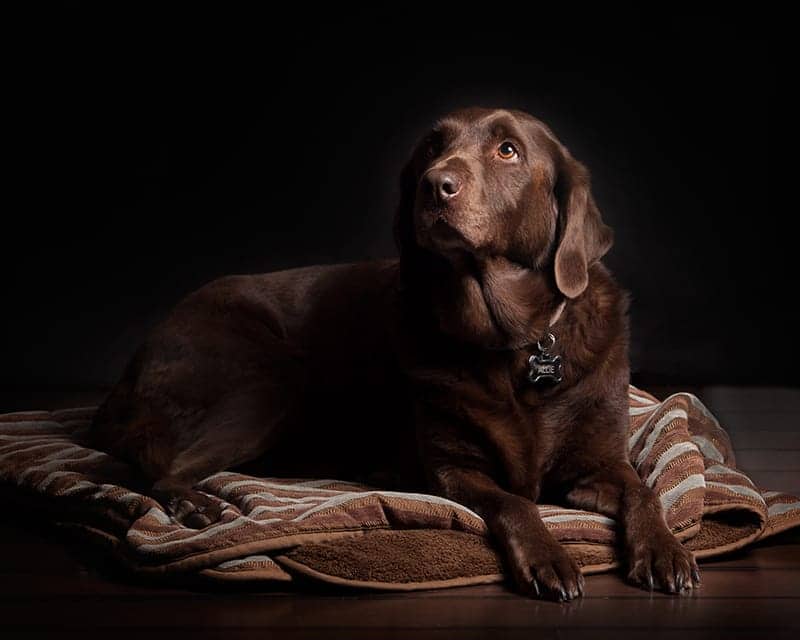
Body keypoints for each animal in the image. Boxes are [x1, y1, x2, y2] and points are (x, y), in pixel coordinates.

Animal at [89, 106, 700, 600]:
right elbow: (516, 503)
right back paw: (201, 504)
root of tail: (126, 374)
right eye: (431, 147)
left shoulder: (598, 463)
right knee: (158, 467)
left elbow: (646, 492)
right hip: (269, 380)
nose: (435, 184)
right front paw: (550, 557)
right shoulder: (454, 470)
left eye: (508, 149)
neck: (510, 342)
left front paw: (665, 551)